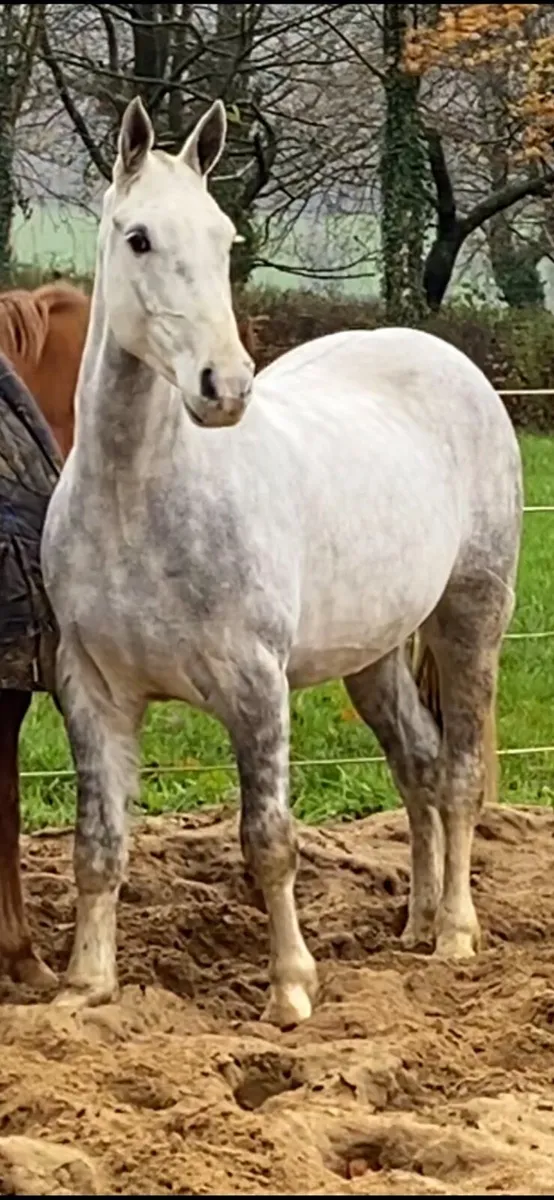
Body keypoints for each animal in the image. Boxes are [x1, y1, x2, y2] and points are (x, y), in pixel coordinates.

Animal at [41, 97, 523, 1027]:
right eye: (139, 237)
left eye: (225, 237)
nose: (224, 388)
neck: (140, 499)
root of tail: (448, 360)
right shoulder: (93, 690)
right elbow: (99, 843)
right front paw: (87, 985)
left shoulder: (255, 688)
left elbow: (269, 839)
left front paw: (292, 989)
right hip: (374, 656)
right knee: (417, 767)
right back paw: (413, 927)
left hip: (471, 619)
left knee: (458, 775)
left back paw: (453, 932)